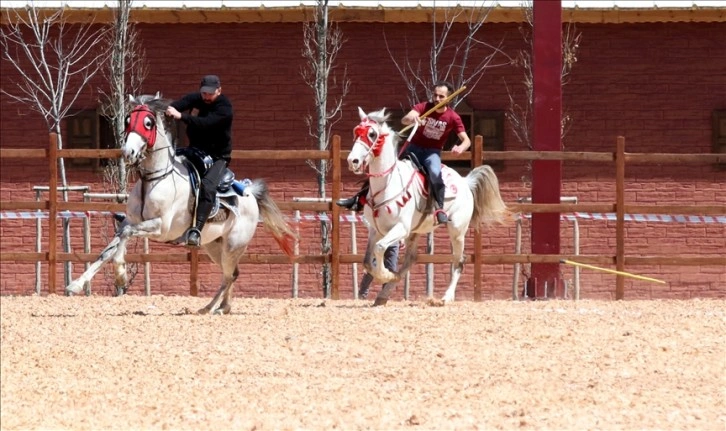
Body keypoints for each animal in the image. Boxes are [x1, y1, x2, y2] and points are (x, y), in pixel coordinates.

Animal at [65, 94, 298, 314]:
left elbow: (126, 235)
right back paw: (221, 307)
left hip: (233, 245)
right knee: (232, 274)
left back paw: (210, 308)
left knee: (229, 275)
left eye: (148, 123)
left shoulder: (161, 228)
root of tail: (250, 194)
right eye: (128, 120)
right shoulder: (129, 221)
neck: (155, 179)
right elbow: (109, 248)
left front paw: (121, 274)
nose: (128, 152)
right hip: (214, 245)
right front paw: (76, 285)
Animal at [348, 106, 510, 306]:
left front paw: (385, 274)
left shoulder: (401, 228)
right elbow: (366, 260)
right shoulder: (375, 230)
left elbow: (379, 248)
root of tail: (465, 182)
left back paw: (446, 297)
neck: (388, 183)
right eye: (356, 131)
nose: (352, 161)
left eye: (372, 134)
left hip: (457, 231)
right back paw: (384, 294)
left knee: (459, 261)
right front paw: (388, 276)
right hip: (417, 232)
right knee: (410, 260)